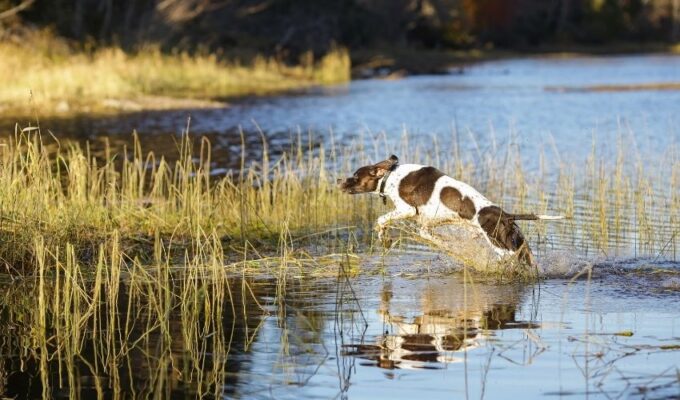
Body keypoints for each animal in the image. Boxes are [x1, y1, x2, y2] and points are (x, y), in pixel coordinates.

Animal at [336, 155, 564, 266]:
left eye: (355, 176)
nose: (339, 181)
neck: (391, 176)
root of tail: (504, 215)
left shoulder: (408, 209)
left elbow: (381, 219)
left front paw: (384, 237)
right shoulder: (425, 225)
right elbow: (431, 236)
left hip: (499, 245)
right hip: (516, 241)